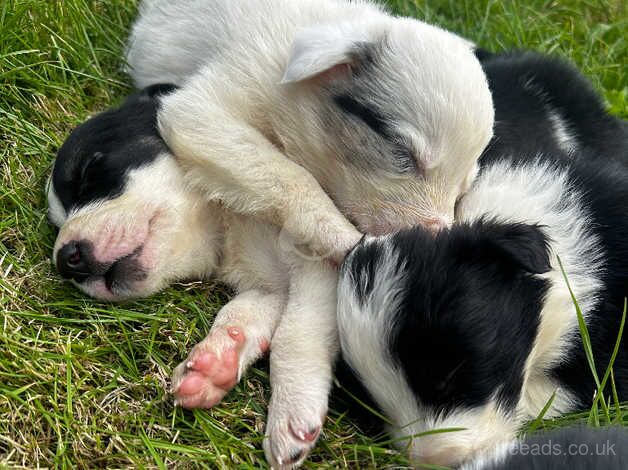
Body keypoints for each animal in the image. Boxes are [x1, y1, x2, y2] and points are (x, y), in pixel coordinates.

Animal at [122, 0, 496, 262]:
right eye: (402, 154)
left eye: (463, 189)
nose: (436, 244)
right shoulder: (206, 108)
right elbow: (294, 177)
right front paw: (346, 240)